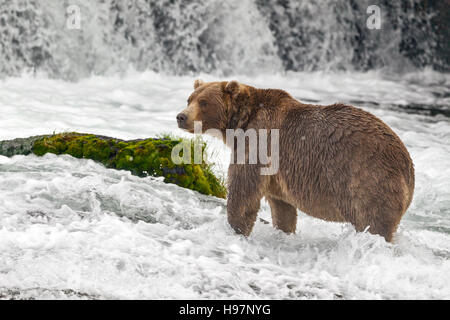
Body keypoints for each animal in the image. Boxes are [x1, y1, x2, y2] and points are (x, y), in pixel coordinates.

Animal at [176, 79, 414, 241]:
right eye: (189, 98)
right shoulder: (277, 175)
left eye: (203, 102)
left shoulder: (259, 142)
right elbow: (282, 208)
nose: (181, 116)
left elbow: (243, 191)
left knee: (373, 225)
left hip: (368, 181)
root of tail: (407, 167)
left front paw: (236, 229)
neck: (239, 124)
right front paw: (284, 231)